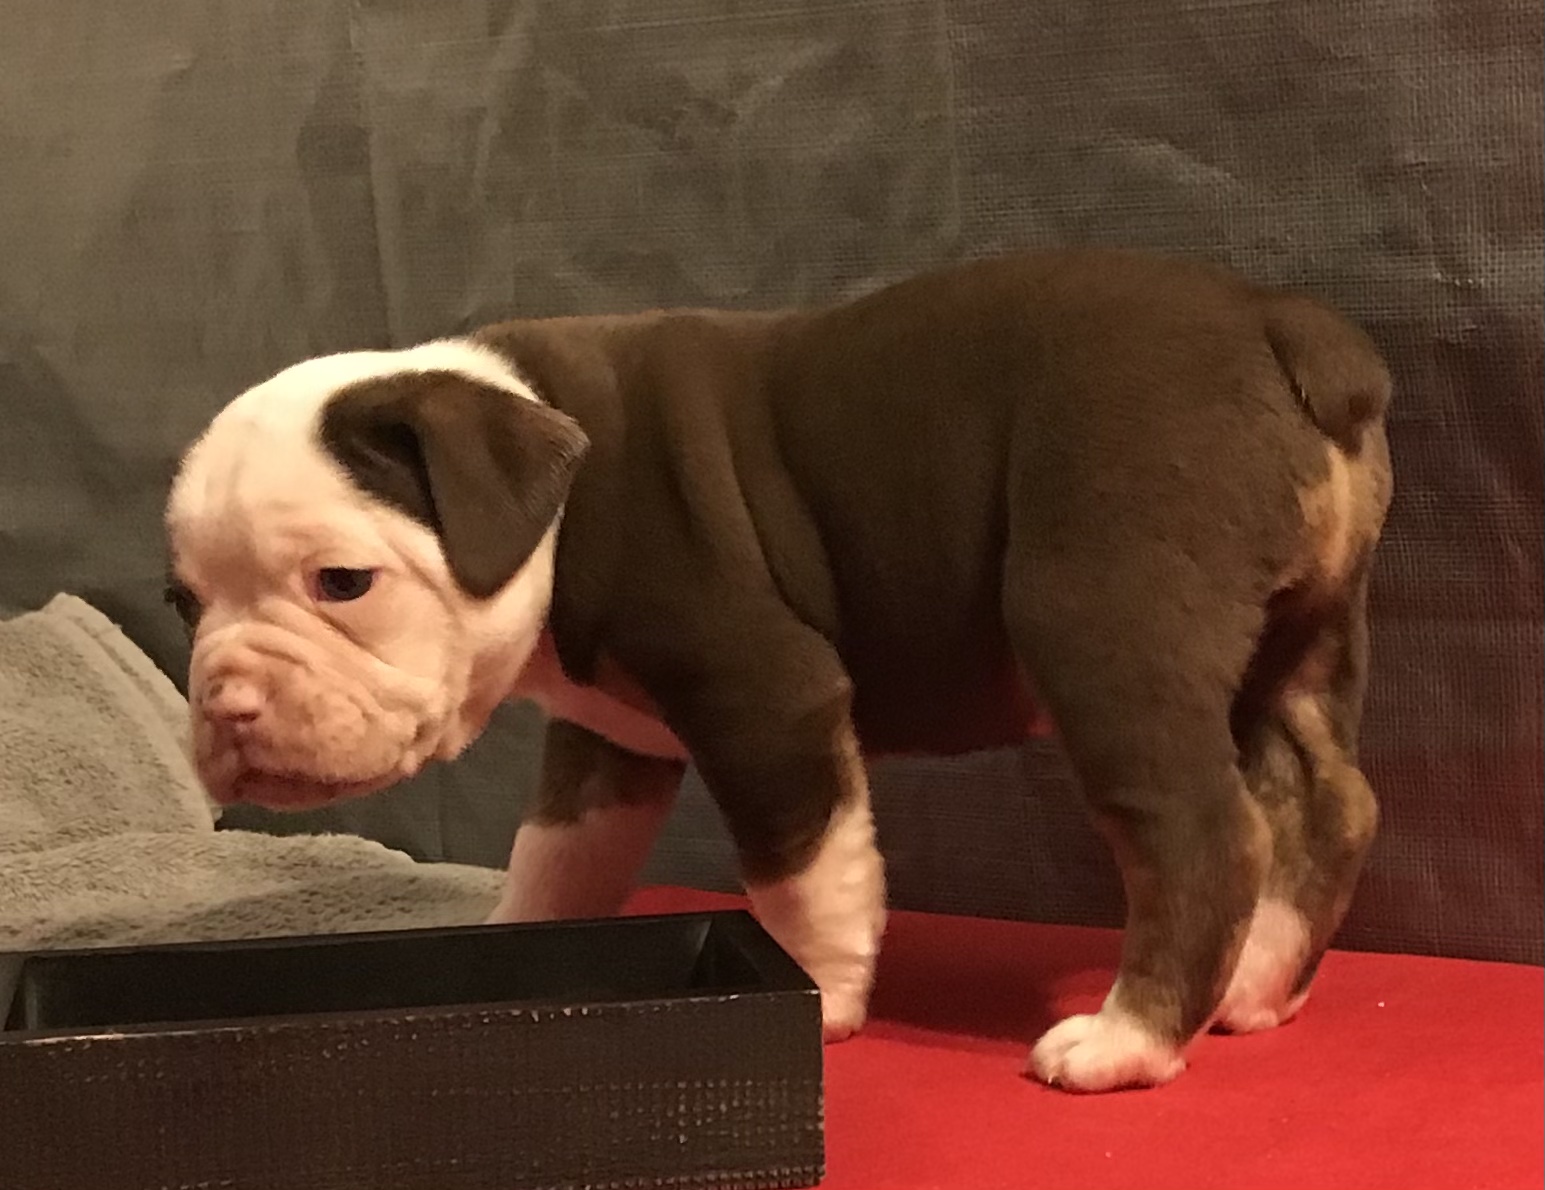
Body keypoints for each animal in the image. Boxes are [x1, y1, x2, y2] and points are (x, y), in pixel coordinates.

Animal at [164, 248, 1393, 1092]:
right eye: (183, 604)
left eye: (343, 581)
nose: (226, 703)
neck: (549, 486)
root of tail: (1278, 322)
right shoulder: (607, 742)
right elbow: (559, 858)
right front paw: (519, 932)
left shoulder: (765, 699)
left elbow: (805, 868)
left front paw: (822, 992)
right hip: (1301, 636)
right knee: (1326, 797)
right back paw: (1257, 986)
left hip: (1102, 617)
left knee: (1202, 828)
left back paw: (1128, 1038)